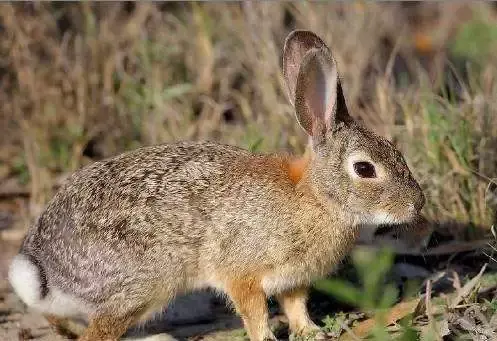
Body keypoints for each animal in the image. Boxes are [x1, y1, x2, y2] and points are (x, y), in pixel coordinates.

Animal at [7, 29, 422, 340]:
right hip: (138, 286)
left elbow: (296, 306)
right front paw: (266, 338)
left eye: (396, 152)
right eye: (365, 169)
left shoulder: (293, 281)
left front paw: (311, 332)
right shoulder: (242, 273)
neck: (316, 198)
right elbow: (254, 312)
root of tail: (44, 267)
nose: (416, 204)